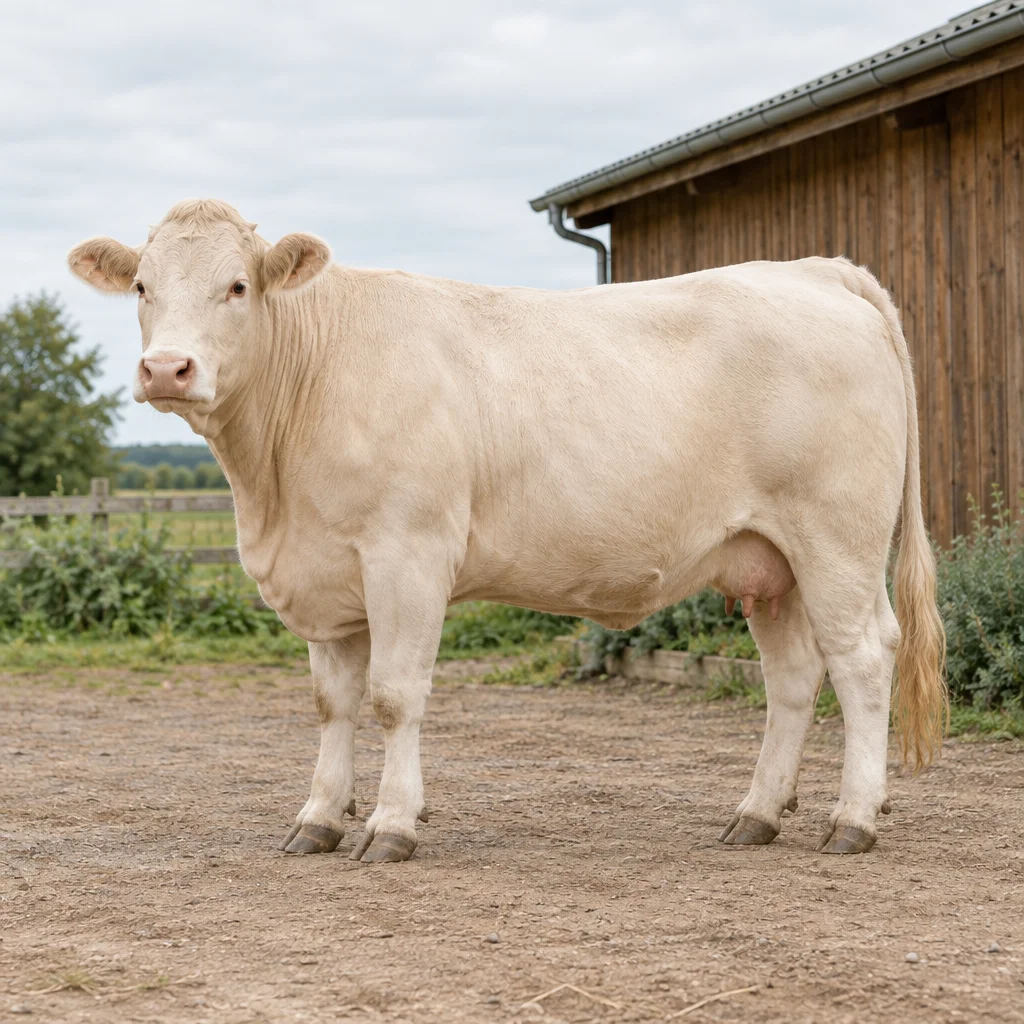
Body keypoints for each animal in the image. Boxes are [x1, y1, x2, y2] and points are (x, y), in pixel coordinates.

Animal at [68, 199, 946, 863]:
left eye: (239, 285)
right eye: (142, 285)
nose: (167, 369)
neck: (273, 488)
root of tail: (814, 268)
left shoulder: (408, 551)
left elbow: (394, 696)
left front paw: (391, 825)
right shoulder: (327, 572)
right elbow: (332, 703)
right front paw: (318, 817)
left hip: (837, 540)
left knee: (863, 662)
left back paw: (853, 820)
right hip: (769, 559)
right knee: (793, 677)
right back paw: (757, 814)